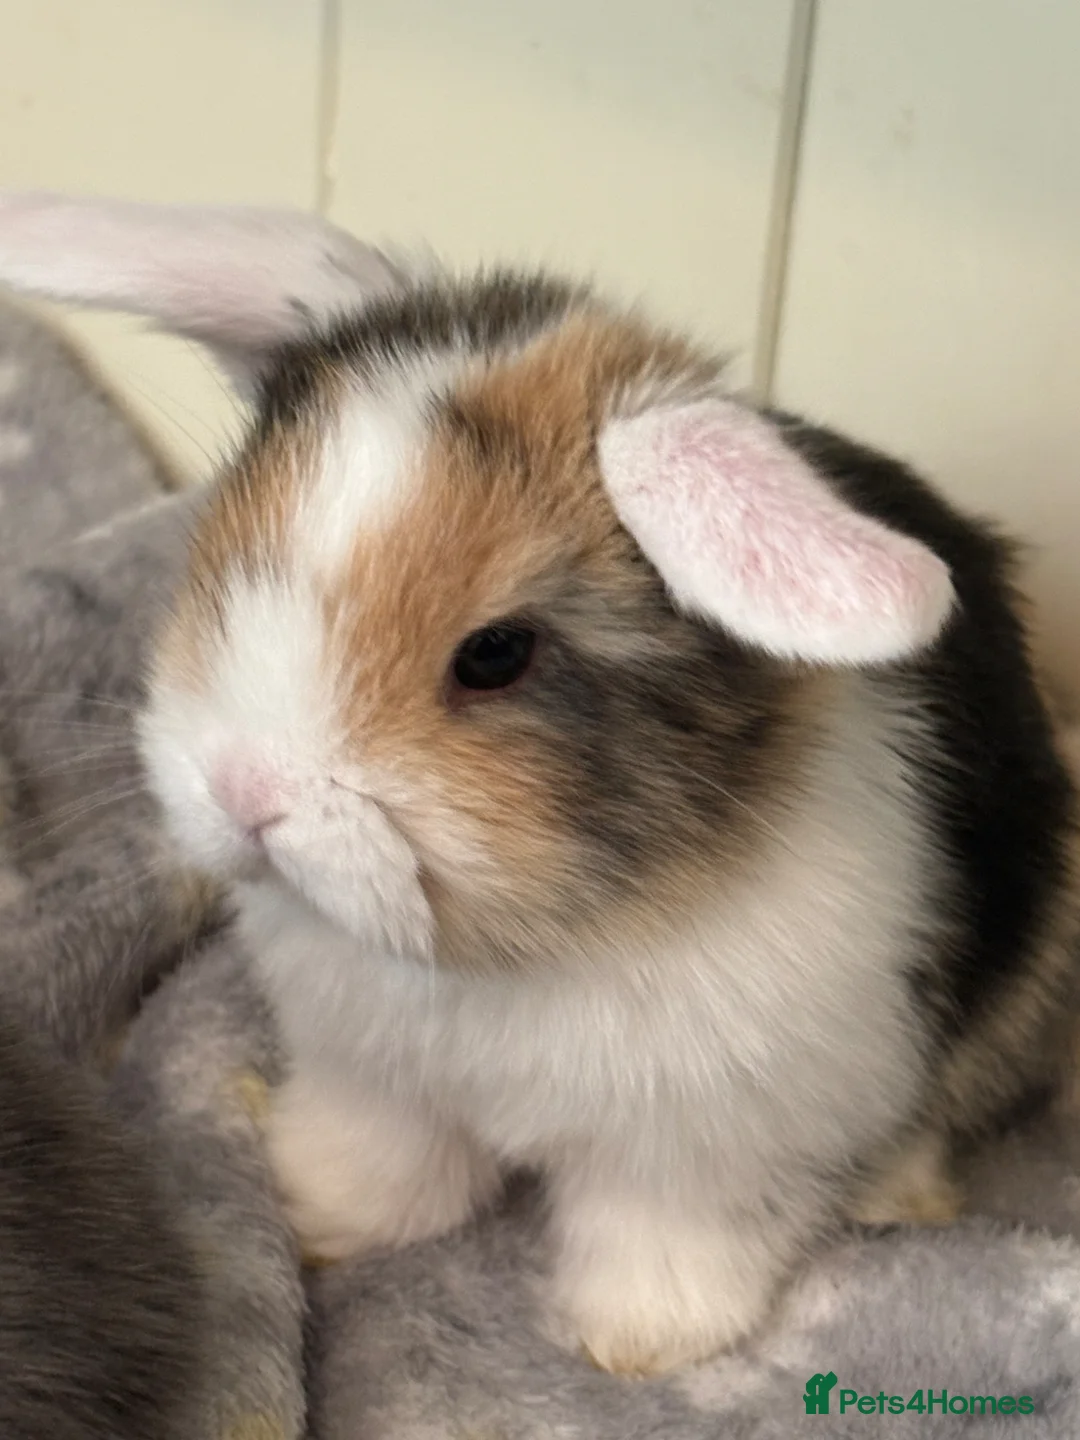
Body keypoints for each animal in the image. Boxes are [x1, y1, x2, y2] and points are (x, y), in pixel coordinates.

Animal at [2, 190, 1077, 1377]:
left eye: (496, 654)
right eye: (230, 552)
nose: (246, 791)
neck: (520, 949)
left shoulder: (703, 1152)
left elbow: (664, 1241)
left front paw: (636, 1344)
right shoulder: (373, 1081)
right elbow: (383, 1160)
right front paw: (317, 1216)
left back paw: (899, 1199)